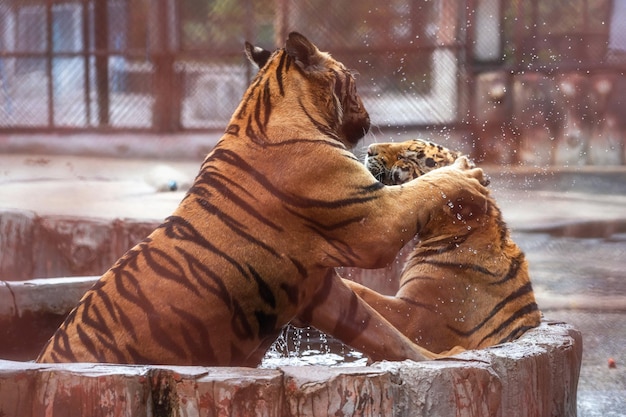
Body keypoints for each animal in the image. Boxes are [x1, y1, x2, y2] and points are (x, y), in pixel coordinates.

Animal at [37, 32, 488, 366]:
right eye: (353, 79)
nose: (368, 113)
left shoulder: (320, 289)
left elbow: (383, 332)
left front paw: (440, 357)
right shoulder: (375, 219)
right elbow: (422, 189)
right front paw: (466, 173)